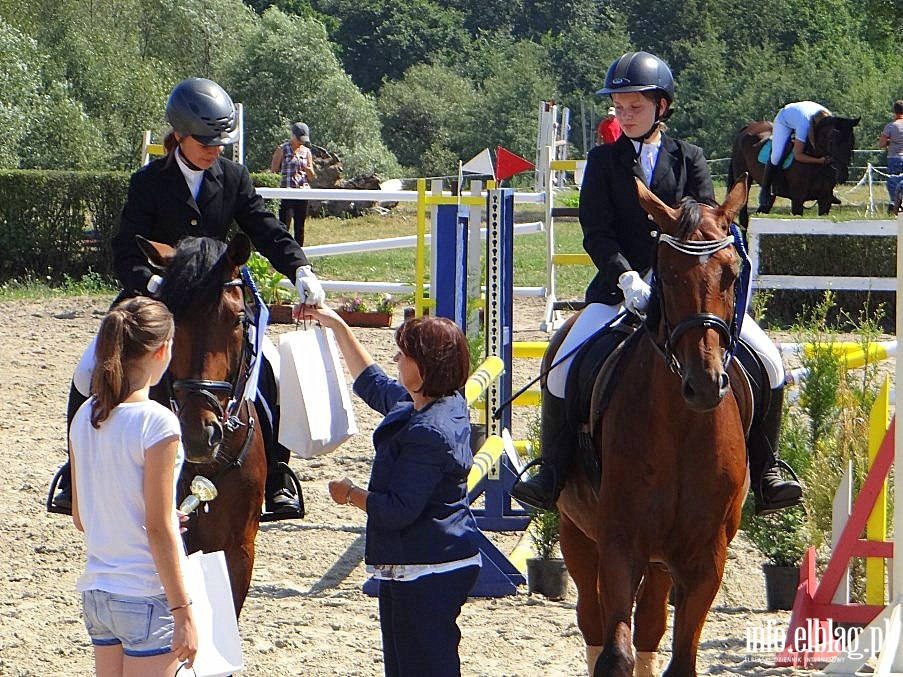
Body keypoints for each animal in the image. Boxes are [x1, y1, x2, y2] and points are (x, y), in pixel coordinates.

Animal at [556, 177, 752, 672]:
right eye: (667, 272)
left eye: (731, 273)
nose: (704, 384)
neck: (683, 427)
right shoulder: (620, 543)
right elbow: (614, 653)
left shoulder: (706, 558)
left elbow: (679, 657)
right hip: (576, 531)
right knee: (593, 618)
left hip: (664, 560)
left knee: (649, 622)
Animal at [728, 112, 860, 226]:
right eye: (832, 141)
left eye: (852, 142)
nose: (843, 175)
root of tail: (746, 129)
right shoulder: (797, 197)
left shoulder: (825, 199)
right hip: (744, 179)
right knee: (744, 217)